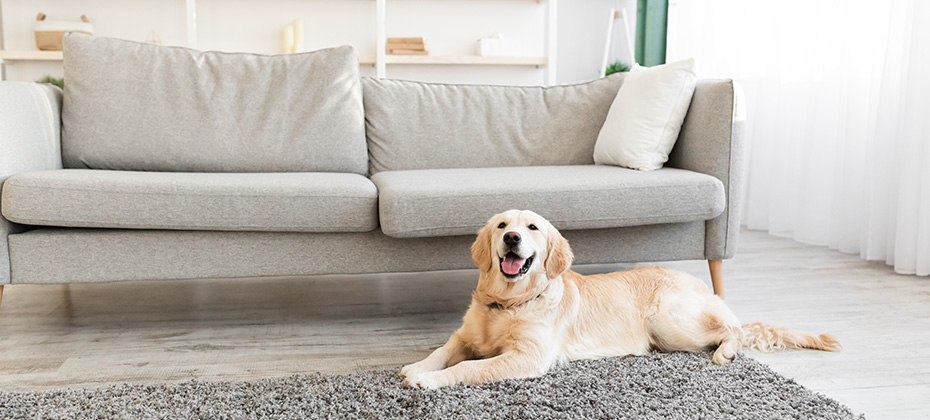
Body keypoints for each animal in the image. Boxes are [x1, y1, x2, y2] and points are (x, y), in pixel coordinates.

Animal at [398, 208, 840, 388]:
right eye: (503, 225)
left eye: (533, 228)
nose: (512, 239)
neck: (507, 302)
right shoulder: (465, 336)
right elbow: (443, 349)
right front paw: (416, 366)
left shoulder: (527, 357)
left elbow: (468, 368)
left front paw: (428, 379)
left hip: (670, 320)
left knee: (734, 329)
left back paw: (725, 352)